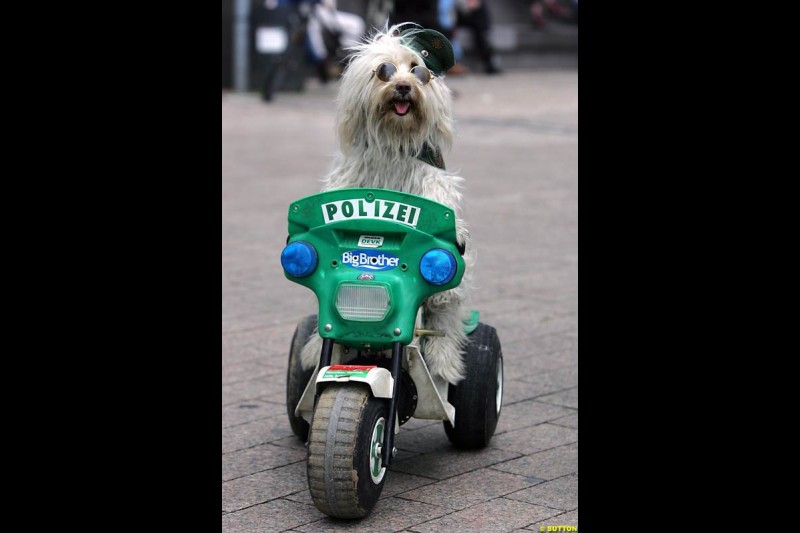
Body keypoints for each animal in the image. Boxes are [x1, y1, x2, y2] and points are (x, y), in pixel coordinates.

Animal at [304, 22, 472, 384]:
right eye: (385, 71)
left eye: (418, 70)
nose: (404, 87)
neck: (394, 140)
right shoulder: (352, 177)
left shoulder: (431, 177)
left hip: (448, 290)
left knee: (444, 315)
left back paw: (444, 362)